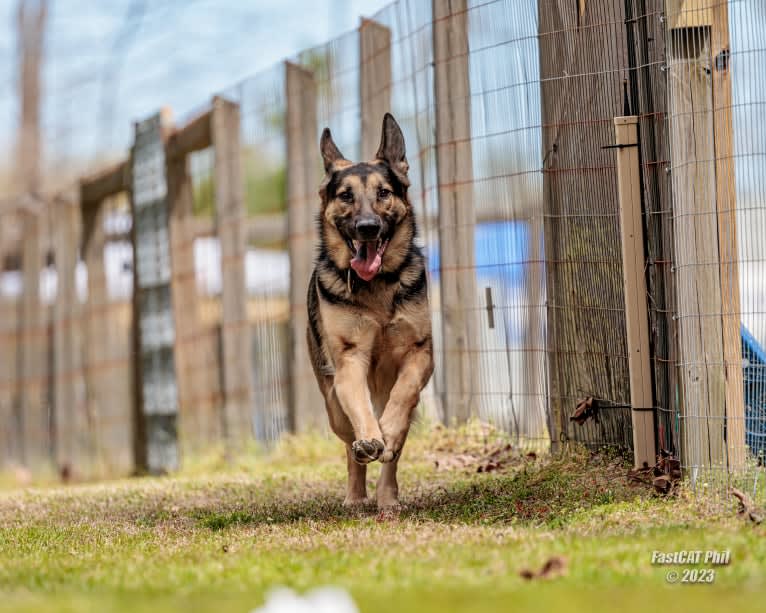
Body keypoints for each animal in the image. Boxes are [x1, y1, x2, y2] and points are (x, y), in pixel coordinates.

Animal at [308, 112, 438, 510]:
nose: (367, 227)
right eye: (345, 196)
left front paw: (388, 433)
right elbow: (362, 416)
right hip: (332, 403)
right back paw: (356, 493)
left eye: (384, 193)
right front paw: (370, 438)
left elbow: (401, 402)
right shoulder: (350, 361)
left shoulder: (419, 355)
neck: (377, 286)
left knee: (394, 448)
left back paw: (387, 496)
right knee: (350, 444)